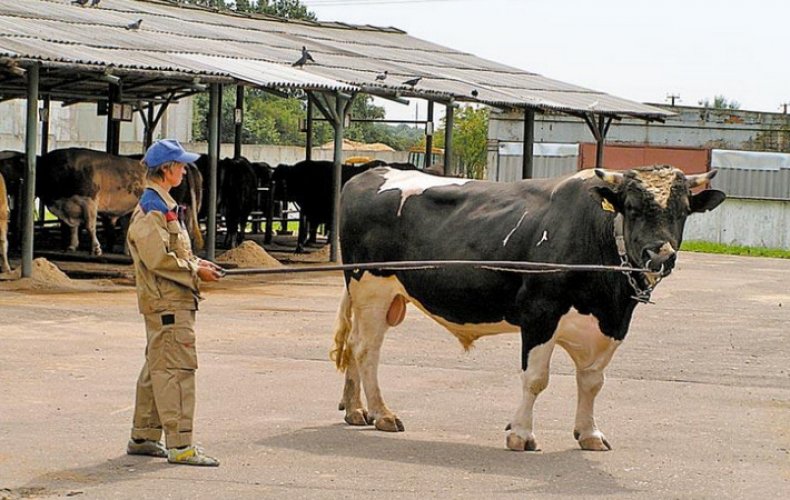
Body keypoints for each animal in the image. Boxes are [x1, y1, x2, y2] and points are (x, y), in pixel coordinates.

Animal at [332, 166, 728, 452]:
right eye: (631, 208)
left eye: (683, 211)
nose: (660, 255)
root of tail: (371, 172)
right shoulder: (541, 314)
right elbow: (536, 379)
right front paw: (521, 434)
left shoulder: (610, 326)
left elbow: (592, 381)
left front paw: (589, 433)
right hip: (372, 288)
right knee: (366, 350)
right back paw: (382, 413)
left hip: (379, 297)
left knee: (353, 345)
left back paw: (355, 409)